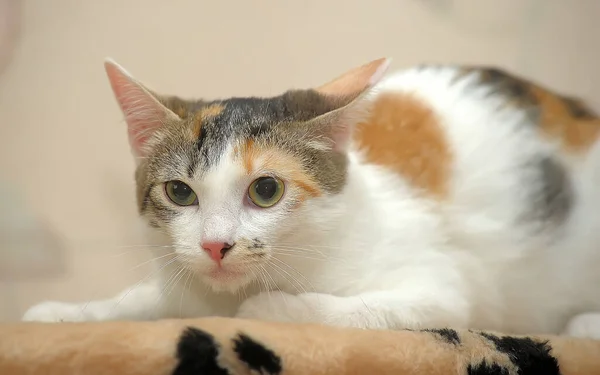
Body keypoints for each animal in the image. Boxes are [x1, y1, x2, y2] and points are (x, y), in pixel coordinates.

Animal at [23, 57, 600, 340]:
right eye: (179, 192)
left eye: (266, 190)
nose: (214, 246)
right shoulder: (182, 285)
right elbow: (143, 299)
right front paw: (63, 314)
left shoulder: (442, 290)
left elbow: (361, 309)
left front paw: (266, 308)